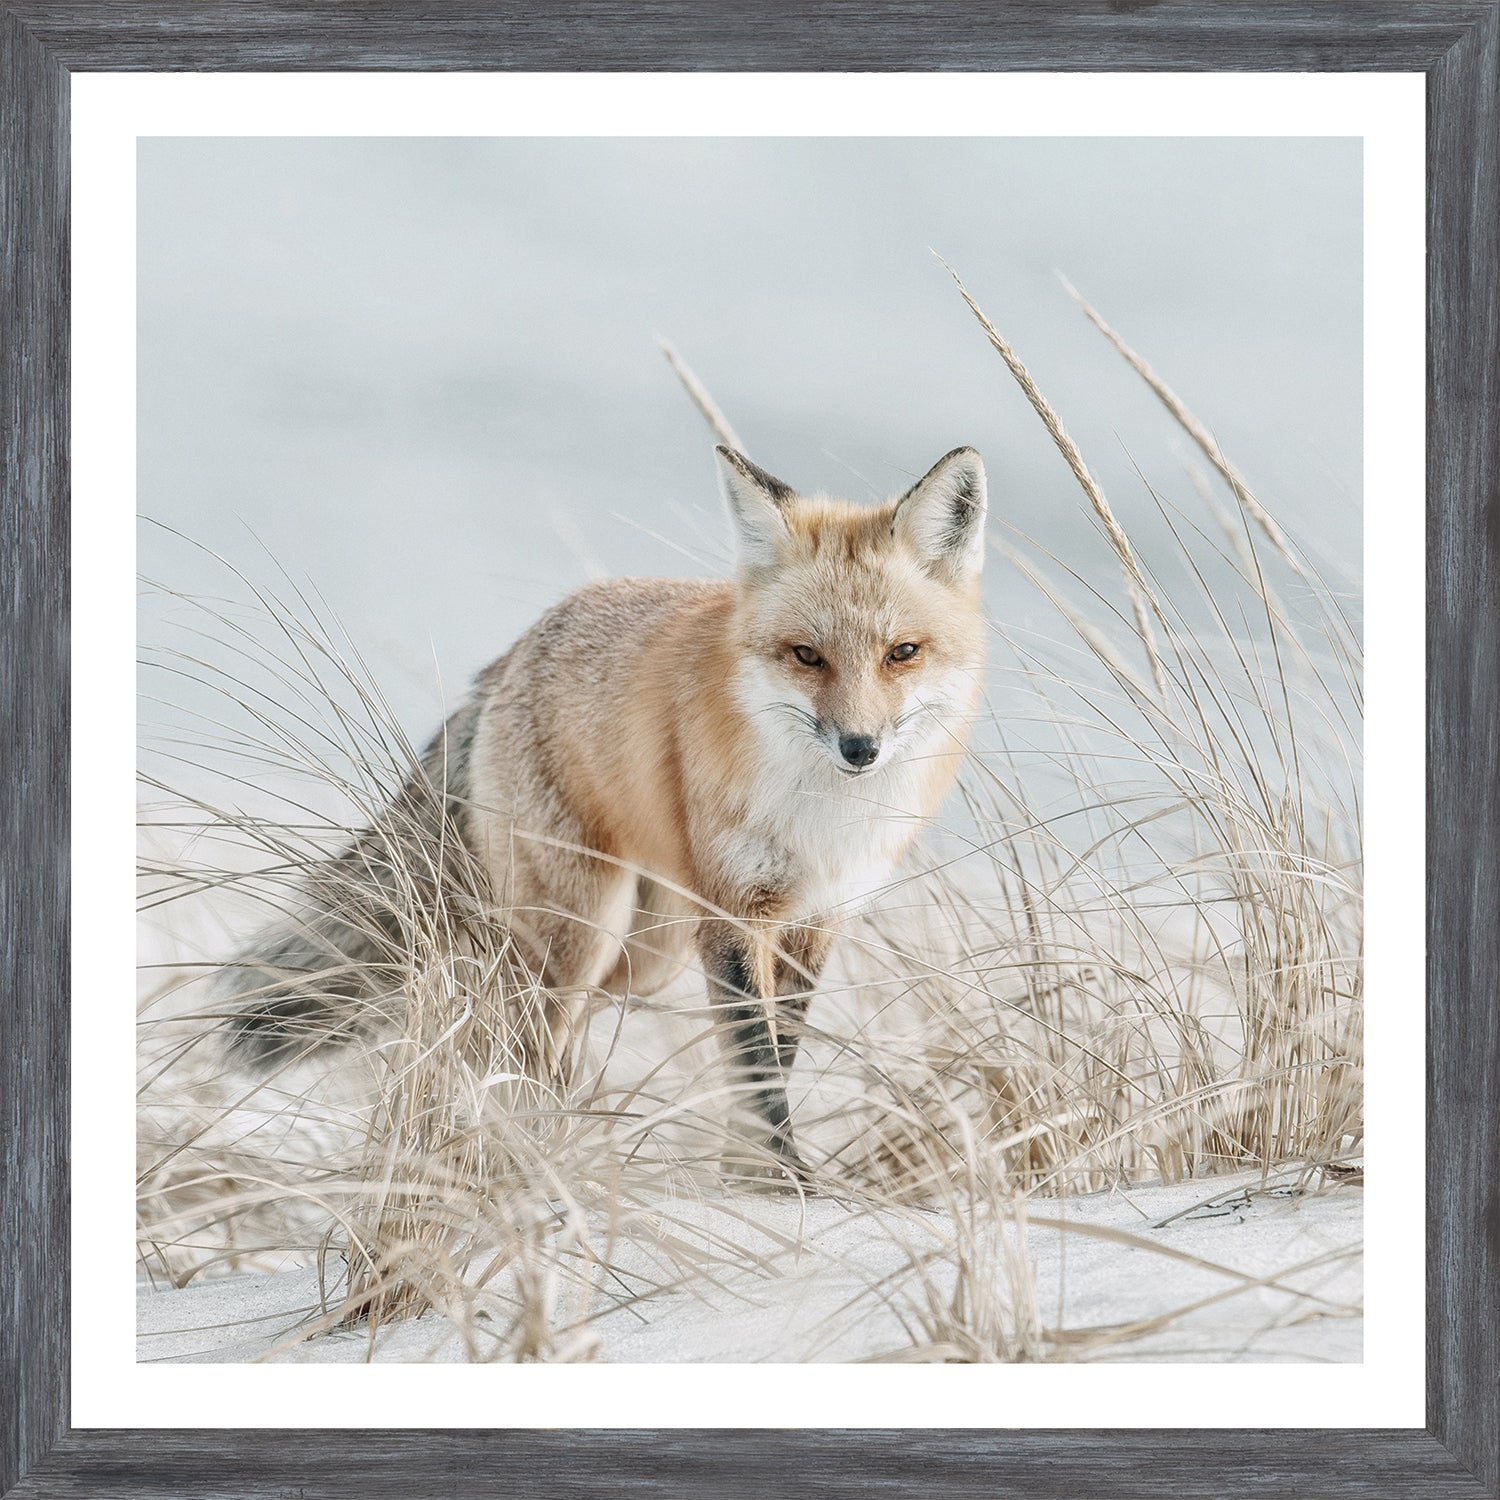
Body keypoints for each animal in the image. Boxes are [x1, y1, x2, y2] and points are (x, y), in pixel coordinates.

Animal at [220, 444, 988, 1182]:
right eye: (806, 655)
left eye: (902, 653)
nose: (860, 748)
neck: (826, 816)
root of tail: (511, 655)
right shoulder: (737, 915)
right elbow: (758, 1067)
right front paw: (780, 1183)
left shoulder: (815, 918)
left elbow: (778, 1055)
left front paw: (751, 1179)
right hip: (583, 931)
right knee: (516, 1040)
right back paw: (521, 1158)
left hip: (647, 954)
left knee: (536, 1037)